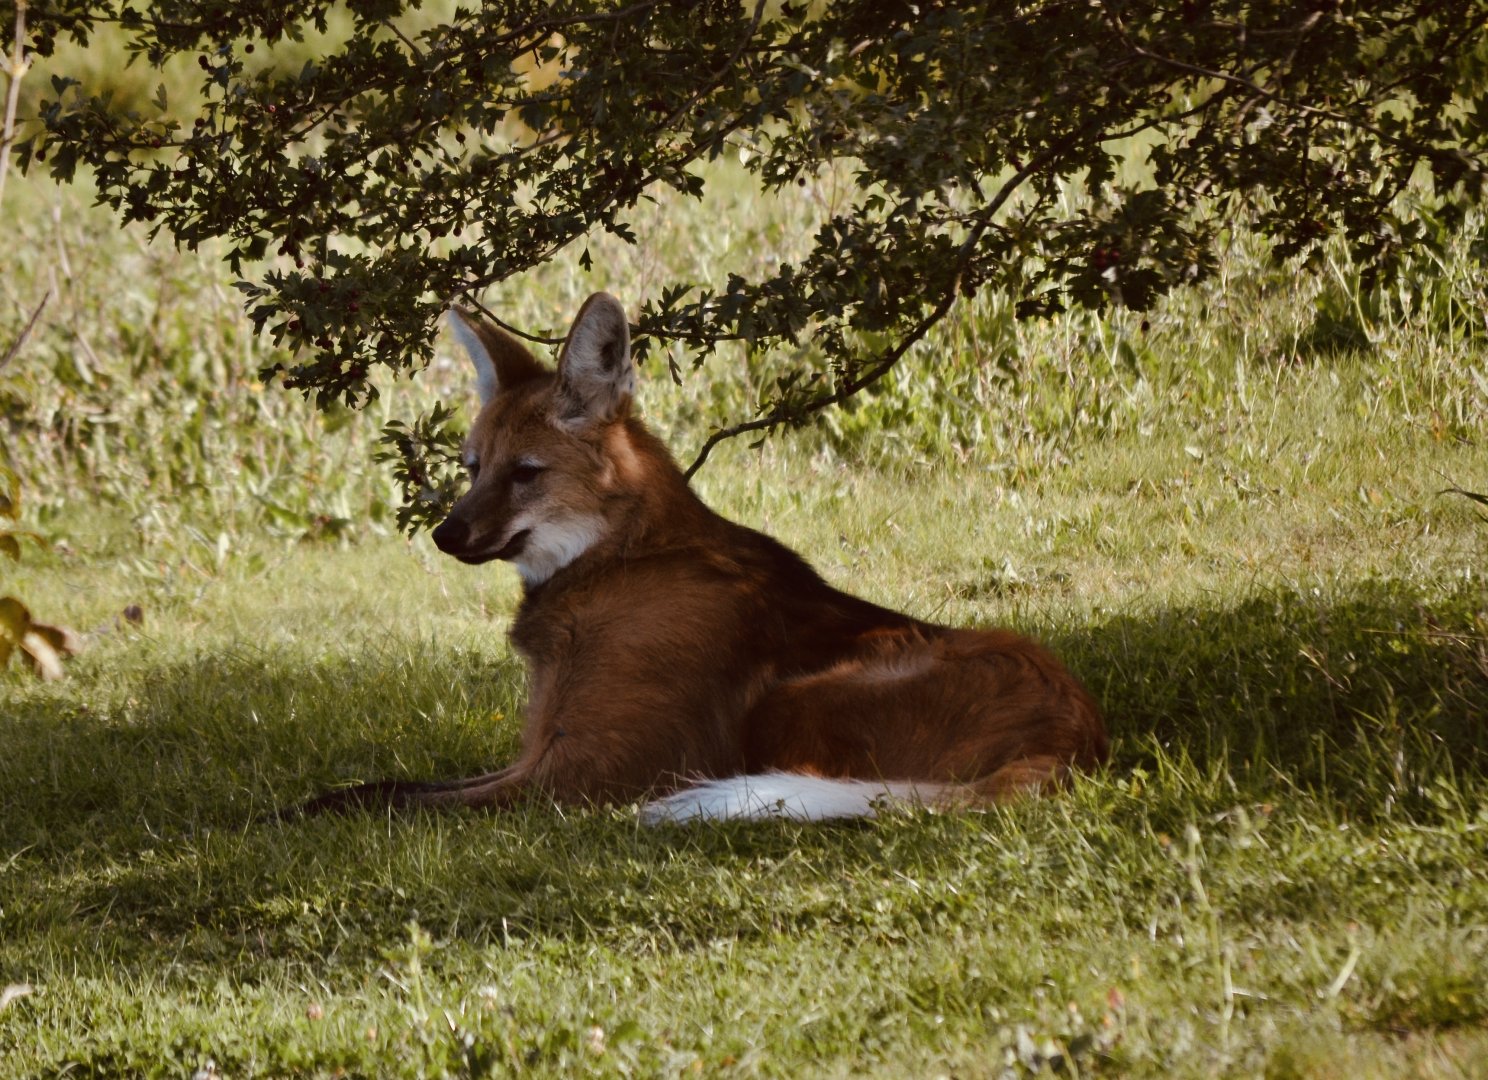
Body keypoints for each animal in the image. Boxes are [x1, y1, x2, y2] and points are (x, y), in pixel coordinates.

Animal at [299, 293, 1107, 821]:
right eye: (471, 469)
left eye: (524, 473)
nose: (446, 535)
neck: (614, 564)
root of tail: (1072, 737)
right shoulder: (538, 754)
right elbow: (389, 787)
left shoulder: (578, 774)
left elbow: (385, 800)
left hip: (802, 695)